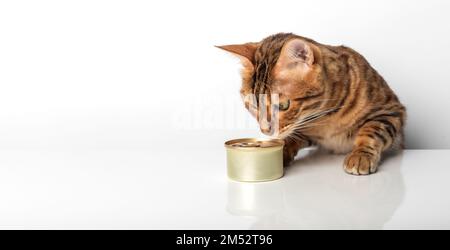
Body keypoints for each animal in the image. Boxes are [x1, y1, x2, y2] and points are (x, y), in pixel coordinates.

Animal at [218, 32, 408, 175]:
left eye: (283, 106)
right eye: (253, 105)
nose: (266, 131)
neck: (326, 115)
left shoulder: (391, 110)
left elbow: (372, 131)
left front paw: (361, 154)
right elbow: (291, 138)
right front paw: (280, 151)